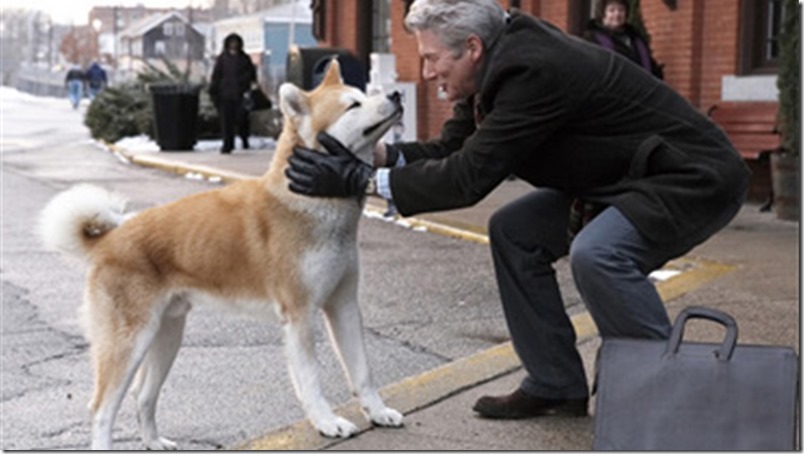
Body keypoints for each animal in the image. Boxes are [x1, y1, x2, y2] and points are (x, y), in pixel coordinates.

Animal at [39, 60, 402, 450]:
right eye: (353, 105)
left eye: (365, 94)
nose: (397, 94)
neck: (310, 201)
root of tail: (109, 239)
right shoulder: (300, 315)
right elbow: (312, 381)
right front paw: (327, 422)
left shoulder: (344, 305)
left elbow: (363, 372)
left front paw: (378, 412)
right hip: (129, 343)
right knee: (102, 410)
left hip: (167, 336)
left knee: (143, 396)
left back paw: (154, 441)